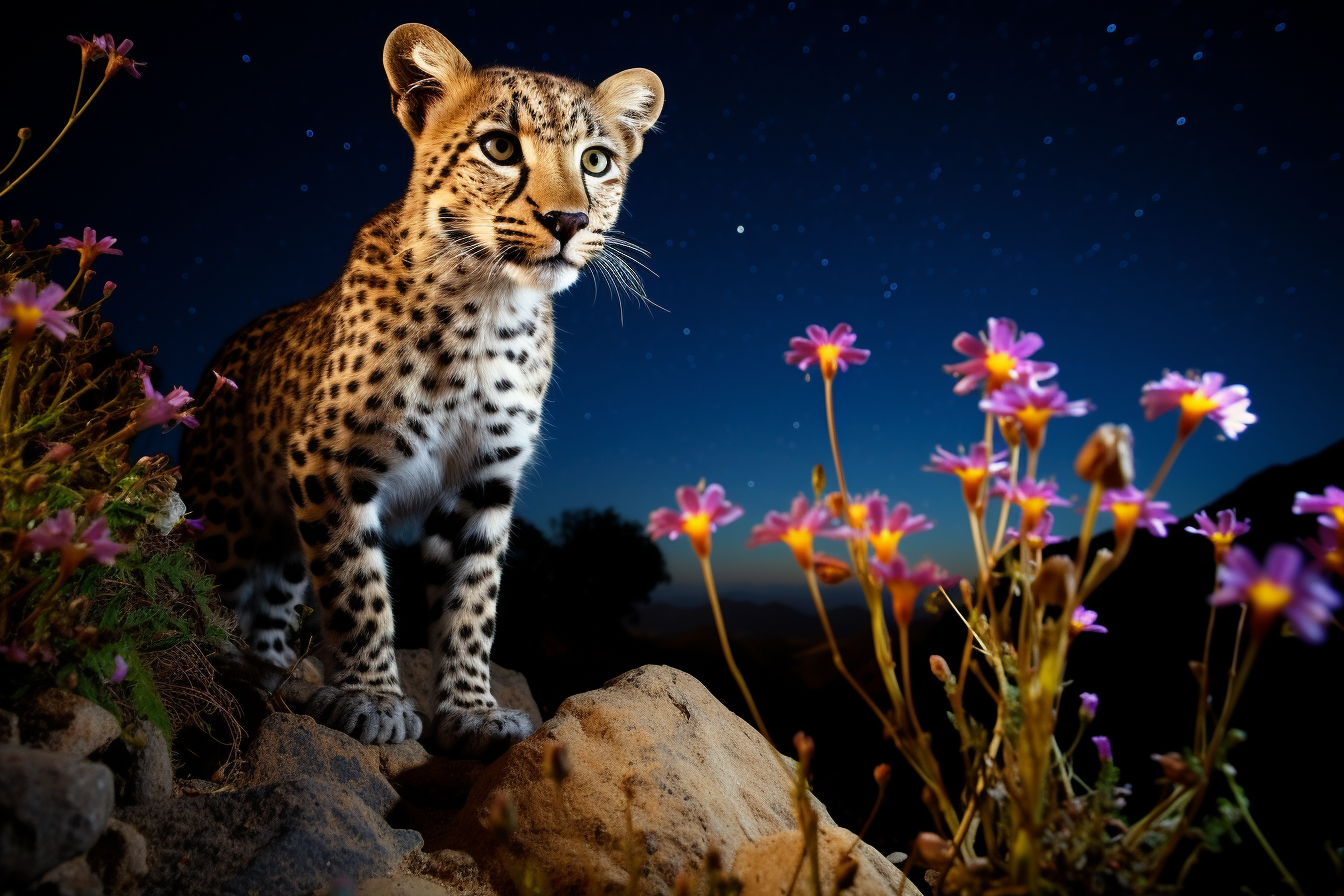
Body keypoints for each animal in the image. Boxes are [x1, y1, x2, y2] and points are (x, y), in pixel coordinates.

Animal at [178, 22, 661, 757]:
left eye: (598, 161)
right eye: (500, 147)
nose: (569, 221)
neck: (489, 311)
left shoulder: (485, 482)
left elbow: (473, 603)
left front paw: (473, 710)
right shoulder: (329, 465)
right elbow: (357, 587)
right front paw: (374, 699)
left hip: (281, 547)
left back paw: (271, 672)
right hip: (224, 522)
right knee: (214, 594)